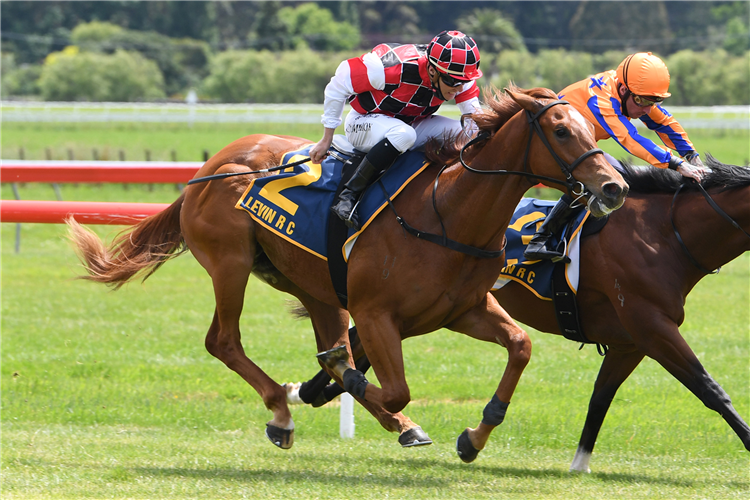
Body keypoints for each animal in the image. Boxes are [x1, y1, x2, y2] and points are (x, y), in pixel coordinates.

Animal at [66, 88, 628, 456]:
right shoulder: (378, 314)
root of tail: (211, 167)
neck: (447, 212)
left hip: (311, 284)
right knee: (223, 341)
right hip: (230, 263)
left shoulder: (462, 310)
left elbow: (520, 346)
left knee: (315, 335)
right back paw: (283, 408)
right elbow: (388, 384)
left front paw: (472, 437)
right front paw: (335, 384)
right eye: (562, 131)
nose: (615, 187)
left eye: (590, 128)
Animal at [290, 156, 748, 468]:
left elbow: (600, 399)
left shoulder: (629, 342)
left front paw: (578, 464)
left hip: (426, 309)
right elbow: (710, 389)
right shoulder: (652, 327)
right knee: (360, 343)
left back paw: (316, 390)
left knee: (358, 345)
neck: (664, 234)